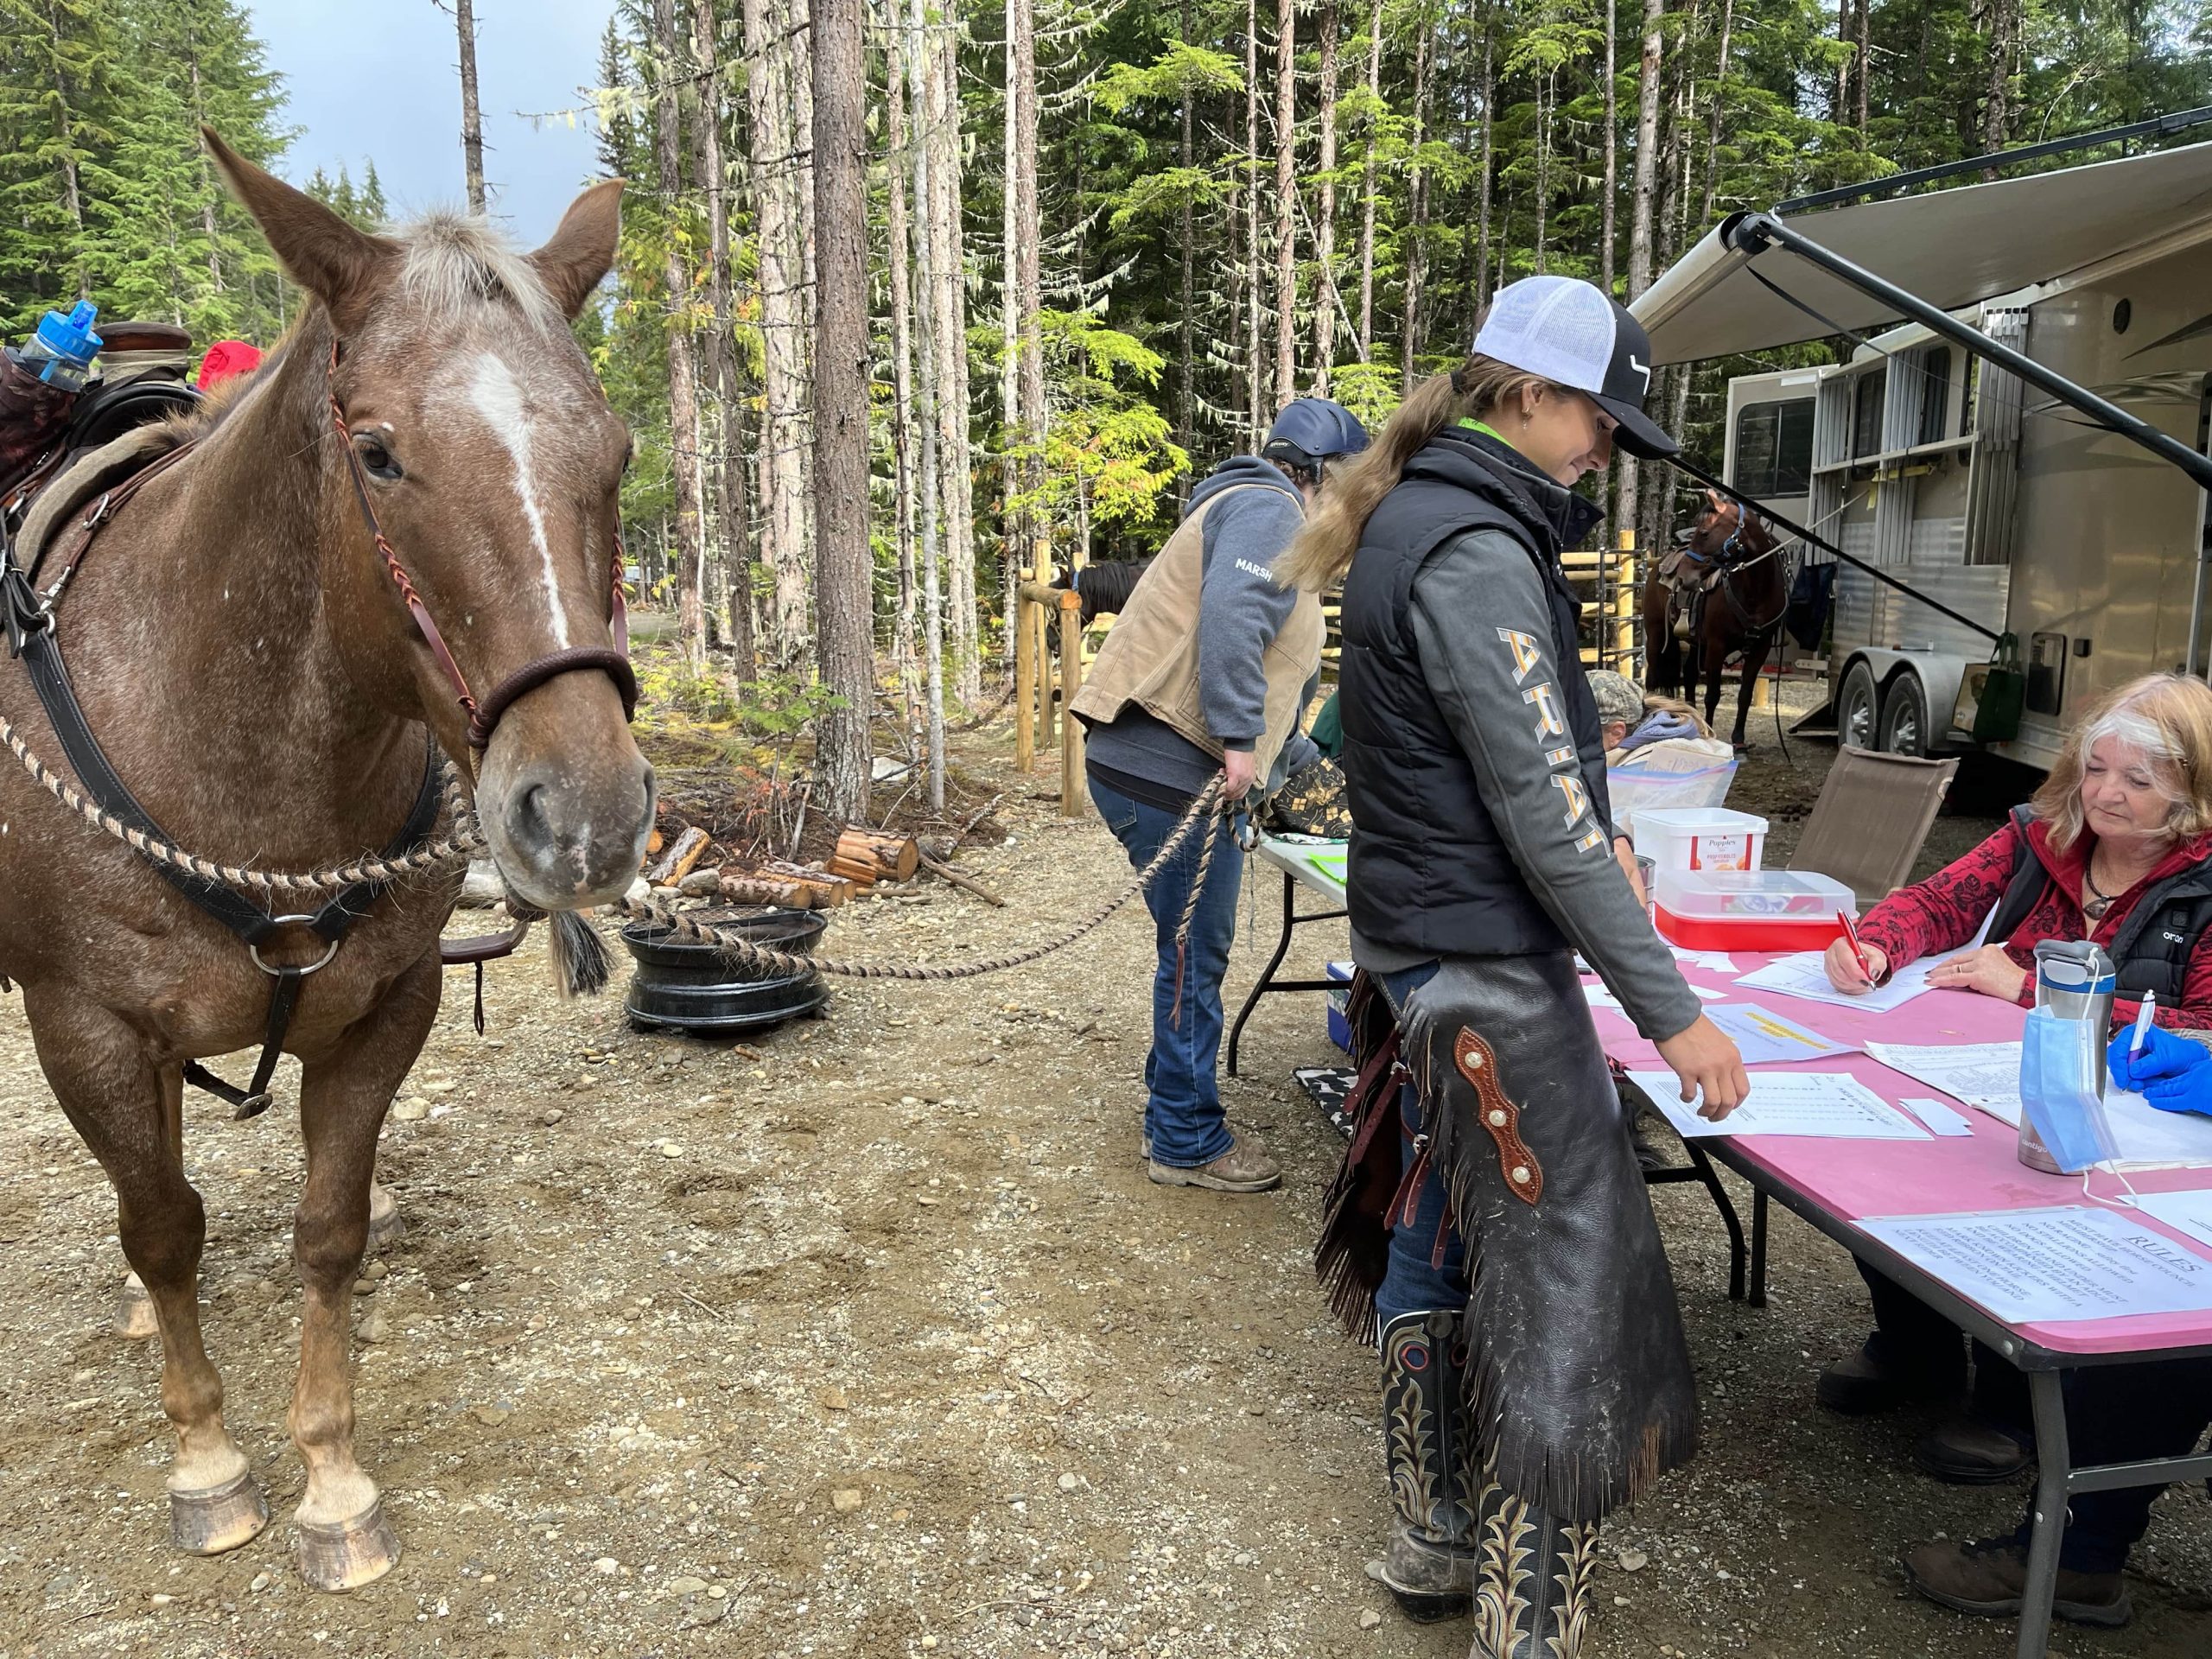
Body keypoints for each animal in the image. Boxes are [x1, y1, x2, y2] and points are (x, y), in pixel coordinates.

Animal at [0, 132, 654, 1590]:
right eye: (379, 454)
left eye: (617, 449)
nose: (582, 813)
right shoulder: (81, 1025)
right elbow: (163, 1224)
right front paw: (208, 1463)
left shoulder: (381, 1014)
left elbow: (326, 1229)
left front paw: (334, 1483)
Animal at [1639, 489, 1790, 752]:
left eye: (1705, 533)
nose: (1683, 578)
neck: (1756, 592)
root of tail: (1659, 563)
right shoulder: (1717, 647)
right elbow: (1712, 695)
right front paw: (1710, 734)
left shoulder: (1760, 648)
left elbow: (1744, 695)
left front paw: (1739, 739)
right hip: (1657, 635)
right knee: (1652, 679)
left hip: (1695, 643)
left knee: (1689, 676)